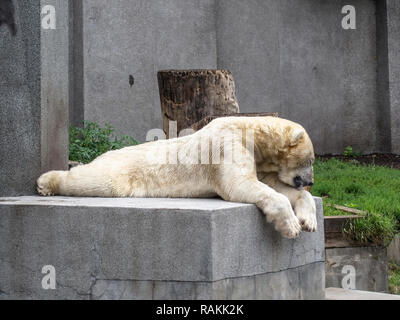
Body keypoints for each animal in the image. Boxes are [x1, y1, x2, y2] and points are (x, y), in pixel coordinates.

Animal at [38, 117, 318, 238]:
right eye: (311, 161)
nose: (311, 181)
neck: (251, 131)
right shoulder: (226, 144)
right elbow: (240, 184)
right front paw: (291, 226)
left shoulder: (258, 159)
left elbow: (273, 184)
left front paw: (308, 220)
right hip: (121, 169)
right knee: (97, 180)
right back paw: (46, 182)